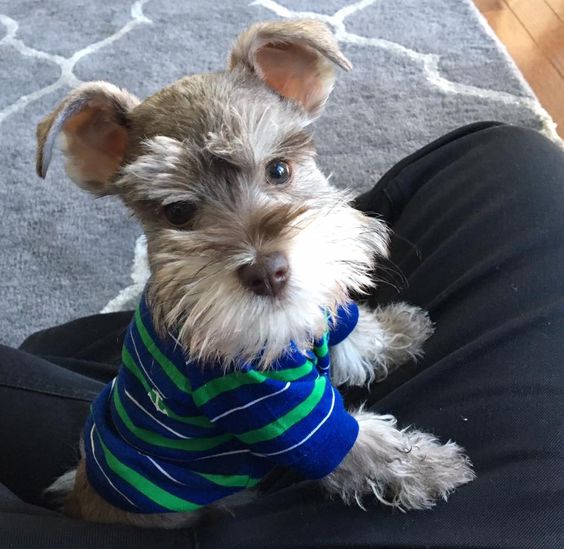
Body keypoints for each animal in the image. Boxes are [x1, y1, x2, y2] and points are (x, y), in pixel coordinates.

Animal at [37, 20, 474, 528]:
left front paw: (399, 330)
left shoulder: (322, 320)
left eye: (279, 169)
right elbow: (362, 446)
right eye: (179, 212)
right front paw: (432, 467)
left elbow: (352, 333)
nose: (267, 272)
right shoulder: (273, 409)